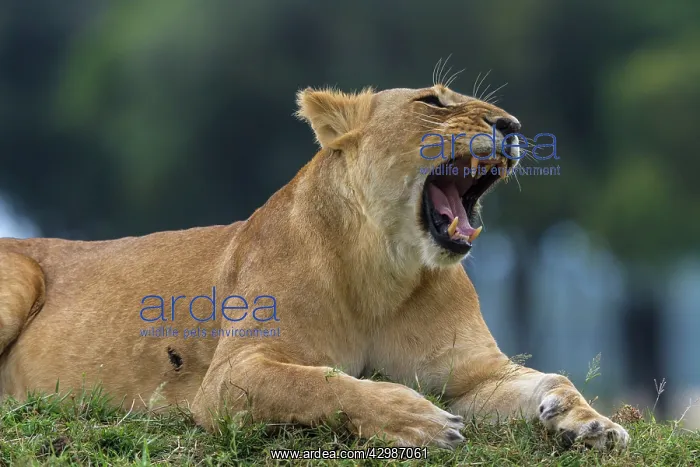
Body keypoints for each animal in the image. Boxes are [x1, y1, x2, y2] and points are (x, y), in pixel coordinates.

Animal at [0, 84, 629, 450]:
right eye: (432, 101)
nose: (514, 127)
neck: (388, 269)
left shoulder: (473, 377)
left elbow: (551, 380)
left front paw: (590, 423)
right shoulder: (229, 376)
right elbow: (321, 384)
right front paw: (422, 421)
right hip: (20, 276)